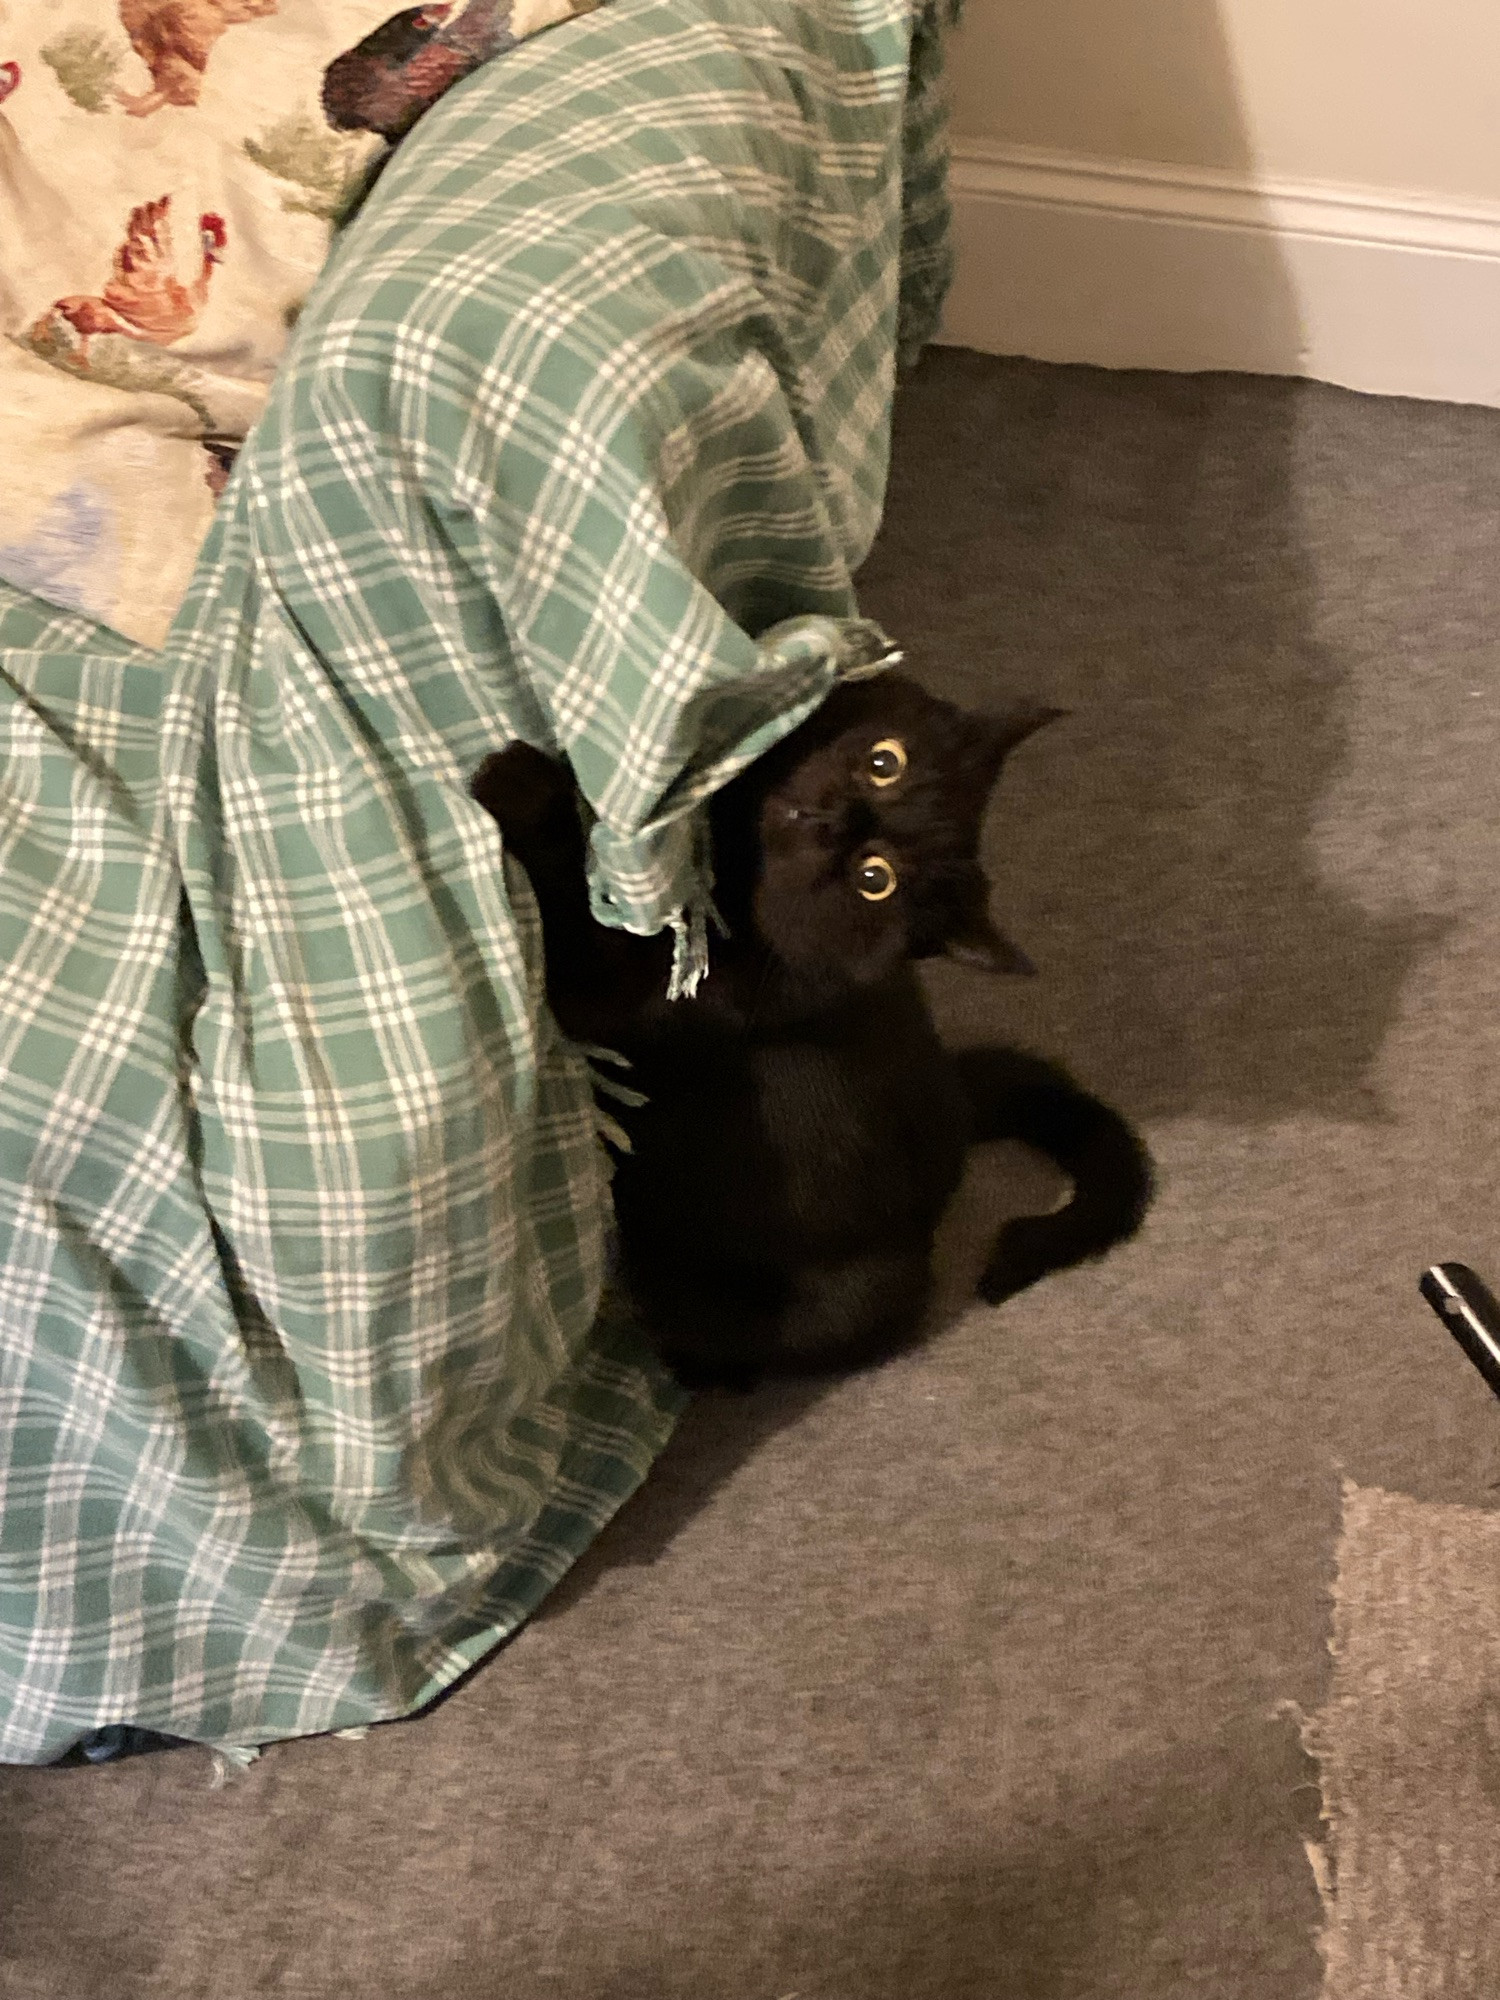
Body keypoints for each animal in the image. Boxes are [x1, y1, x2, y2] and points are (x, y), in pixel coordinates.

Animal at [476, 672, 1160, 1392]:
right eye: (886, 763)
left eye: (875, 879)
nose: (836, 818)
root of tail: (960, 1105)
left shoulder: (640, 995)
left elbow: (577, 935)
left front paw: (518, 784)